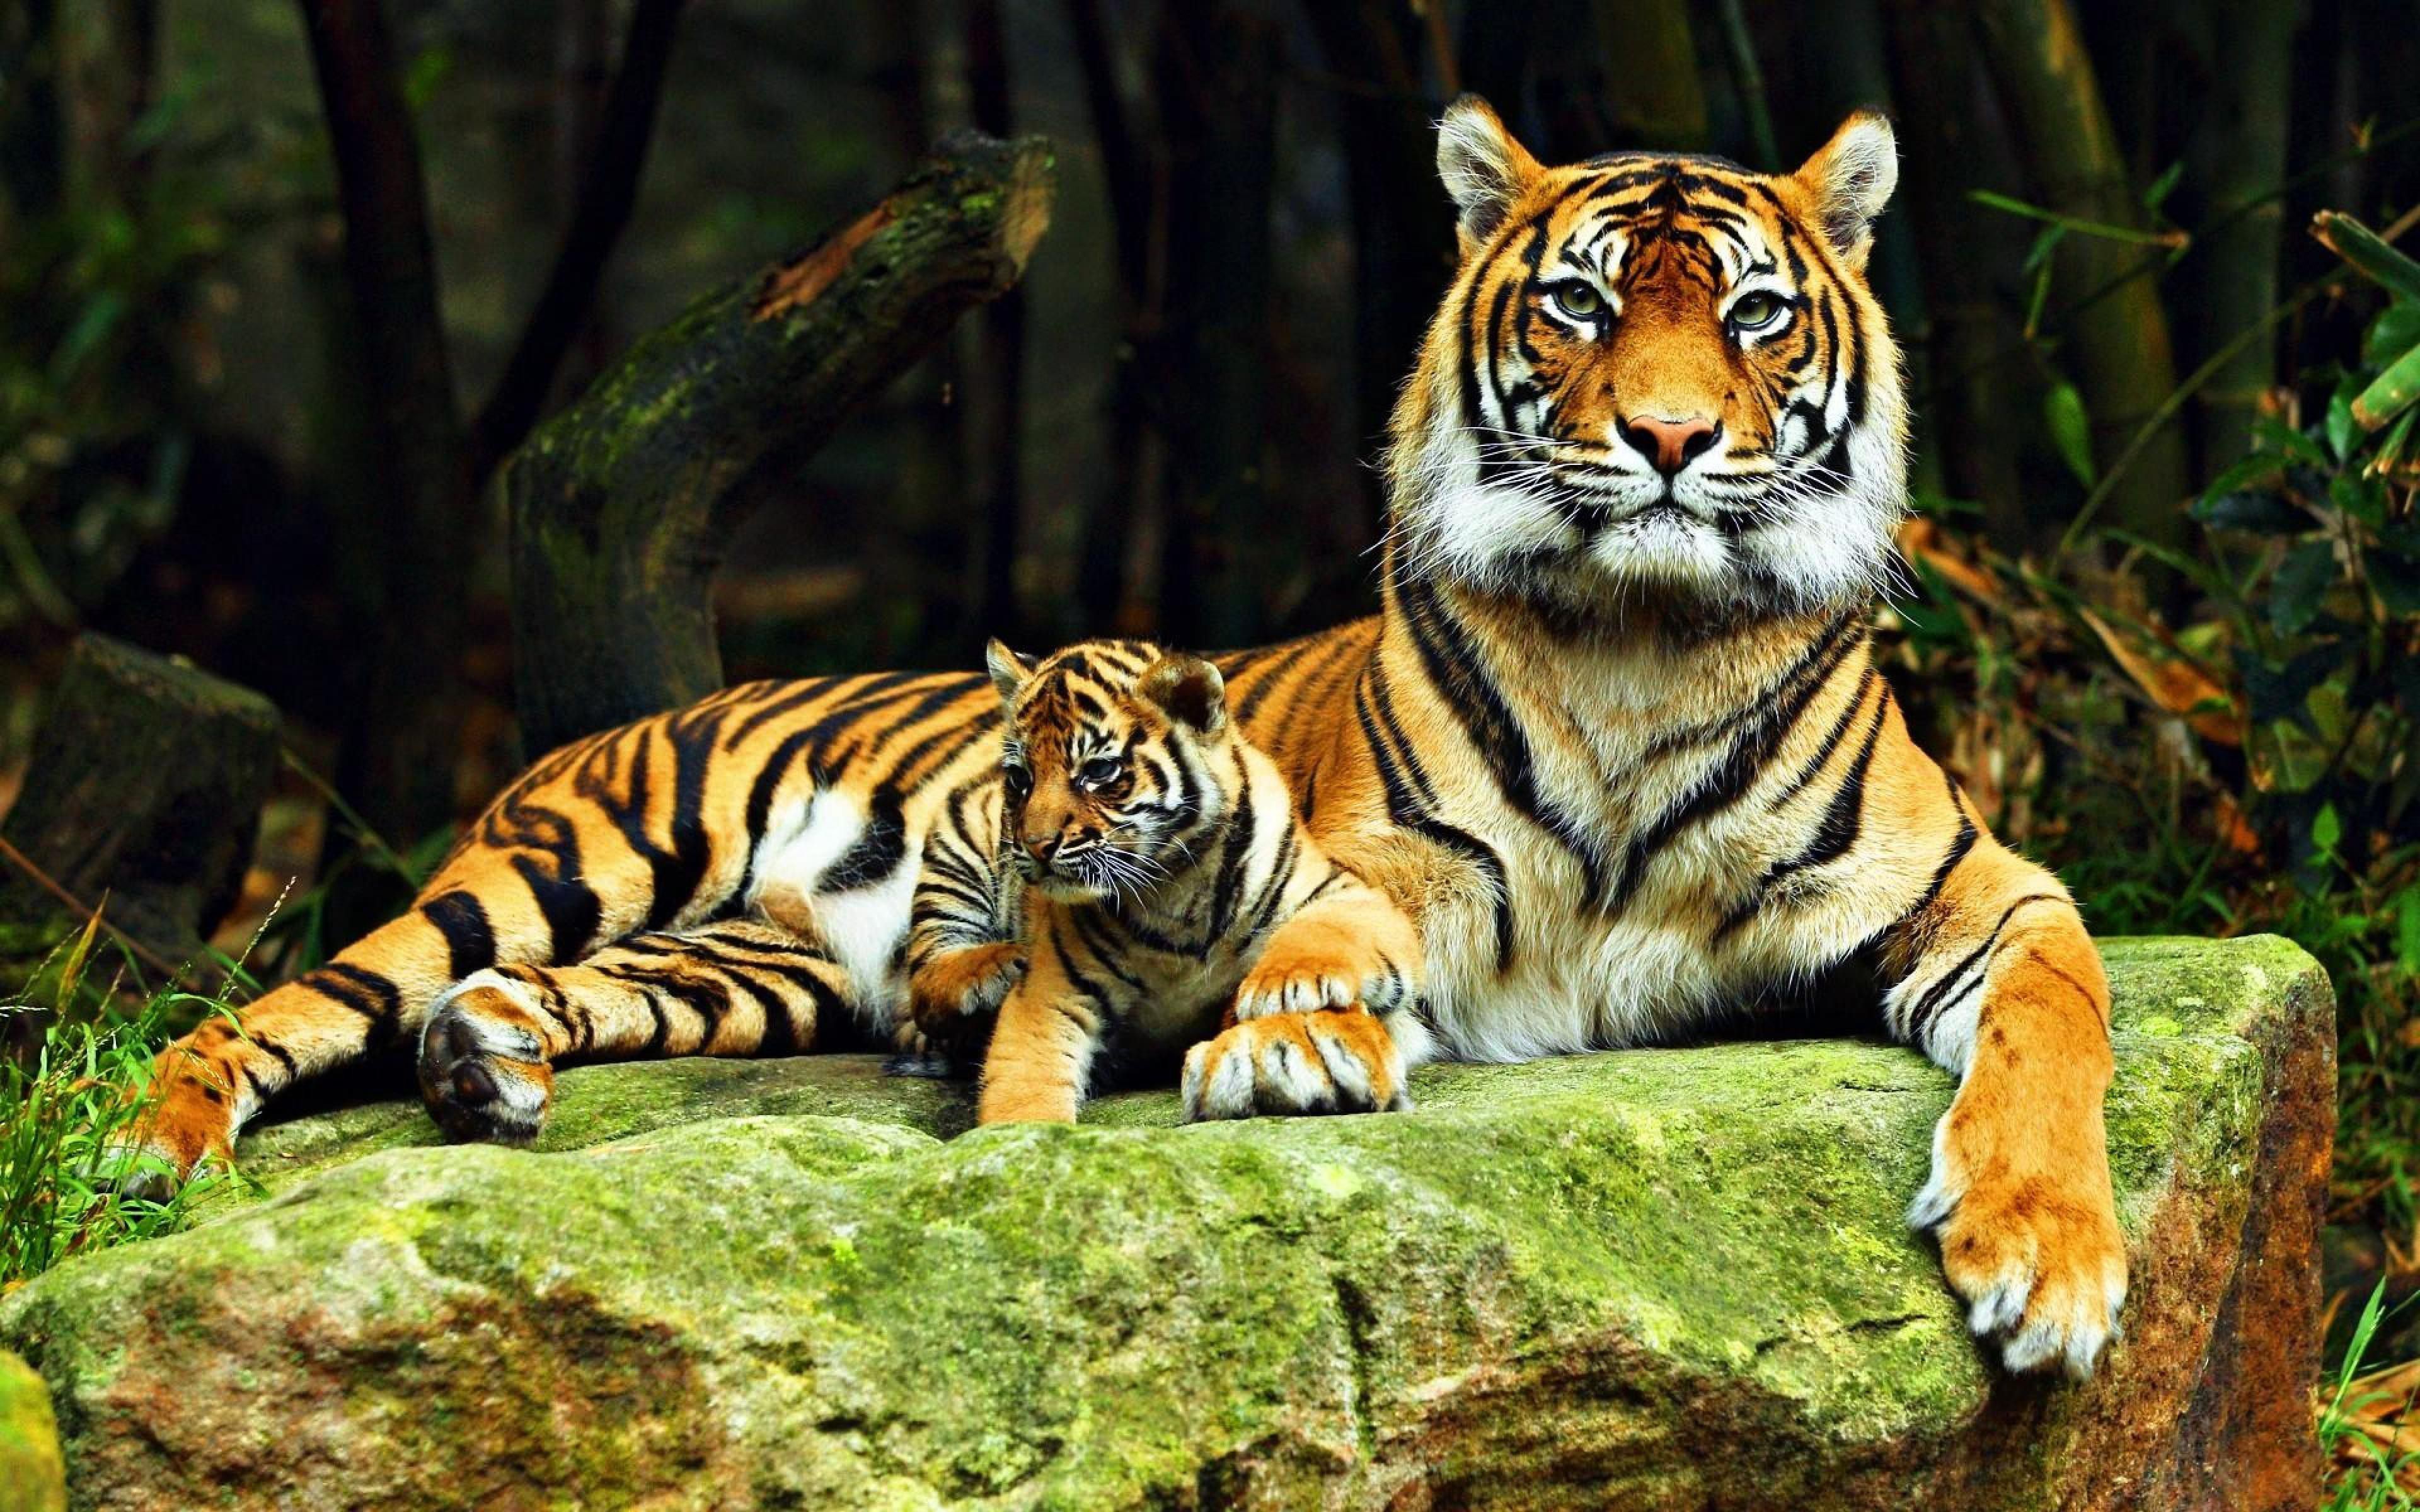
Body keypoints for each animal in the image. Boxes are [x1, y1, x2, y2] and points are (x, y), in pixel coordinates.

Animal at [966, 636, 1419, 1124]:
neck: (1173, 887)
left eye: (1098, 771)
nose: (1036, 845)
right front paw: (1024, 1134)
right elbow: (1025, 1082)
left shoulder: (1349, 893)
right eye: (1020, 778)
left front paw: (1280, 989)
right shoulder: (1053, 994)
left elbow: (1322, 932)